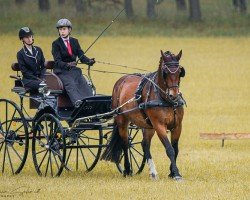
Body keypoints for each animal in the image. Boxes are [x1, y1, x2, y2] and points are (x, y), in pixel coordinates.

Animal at [101, 50, 186, 181]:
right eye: (165, 73)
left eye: (179, 72)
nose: (174, 95)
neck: (166, 100)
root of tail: (121, 80)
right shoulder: (159, 125)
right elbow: (170, 149)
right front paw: (176, 174)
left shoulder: (177, 126)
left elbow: (175, 149)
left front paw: (172, 172)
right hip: (122, 120)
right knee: (125, 144)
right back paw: (127, 170)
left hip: (148, 126)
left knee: (145, 144)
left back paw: (153, 172)